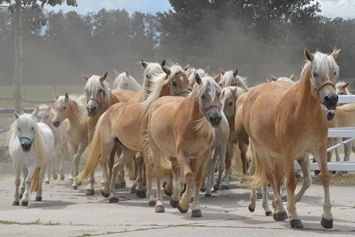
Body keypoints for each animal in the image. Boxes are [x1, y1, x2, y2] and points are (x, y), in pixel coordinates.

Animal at [76, 63, 192, 202]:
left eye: (188, 81)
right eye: (174, 83)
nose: (185, 103)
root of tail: (106, 112)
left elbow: (172, 166)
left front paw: (174, 193)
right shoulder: (149, 148)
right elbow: (150, 169)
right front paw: (151, 196)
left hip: (127, 149)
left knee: (115, 165)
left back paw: (114, 194)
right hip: (108, 143)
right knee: (103, 160)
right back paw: (106, 189)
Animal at [146, 74, 221, 217]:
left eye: (219, 93)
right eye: (203, 95)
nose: (216, 118)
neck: (193, 125)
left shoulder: (202, 156)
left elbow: (197, 179)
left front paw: (195, 208)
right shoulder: (182, 154)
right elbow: (189, 176)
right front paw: (184, 204)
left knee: (174, 170)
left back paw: (174, 197)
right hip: (156, 149)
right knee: (158, 172)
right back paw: (159, 204)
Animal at [241, 48, 340, 230]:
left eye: (334, 72)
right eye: (315, 73)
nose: (331, 99)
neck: (304, 113)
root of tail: (252, 93)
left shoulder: (318, 150)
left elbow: (323, 178)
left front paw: (327, 217)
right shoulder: (289, 152)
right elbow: (291, 183)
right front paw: (294, 216)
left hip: (279, 155)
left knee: (277, 177)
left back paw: (276, 207)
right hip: (261, 148)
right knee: (270, 175)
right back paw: (278, 209)